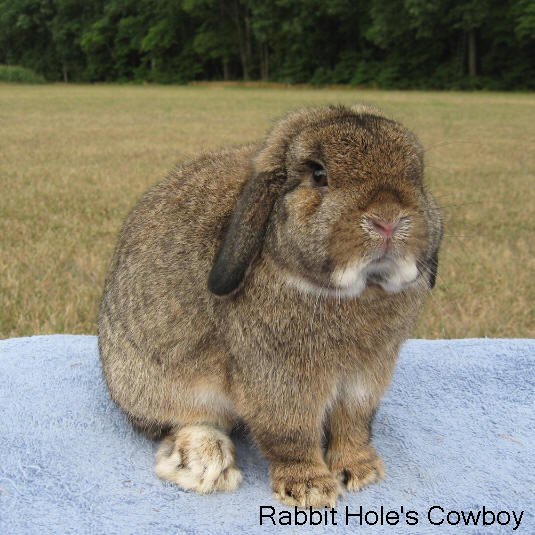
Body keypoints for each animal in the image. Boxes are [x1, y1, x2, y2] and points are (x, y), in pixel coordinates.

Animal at [98, 103, 442, 506]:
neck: (356, 291)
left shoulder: (365, 379)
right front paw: (311, 490)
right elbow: (291, 435)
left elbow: (353, 424)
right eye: (319, 174)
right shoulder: (279, 382)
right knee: (182, 423)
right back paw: (208, 464)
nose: (388, 221)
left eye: (417, 176)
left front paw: (360, 471)